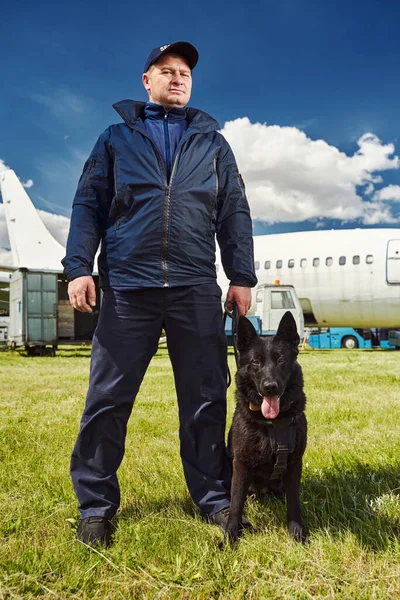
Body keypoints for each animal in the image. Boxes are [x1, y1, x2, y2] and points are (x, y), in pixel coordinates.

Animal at [225, 312, 306, 540]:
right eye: (256, 362)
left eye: (281, 360)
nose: (270, 387)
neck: (273, 422)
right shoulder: (241, 464)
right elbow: (236, 504)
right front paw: (230, 537)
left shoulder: (294, 465)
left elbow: (294, 503)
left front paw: (297, 533)